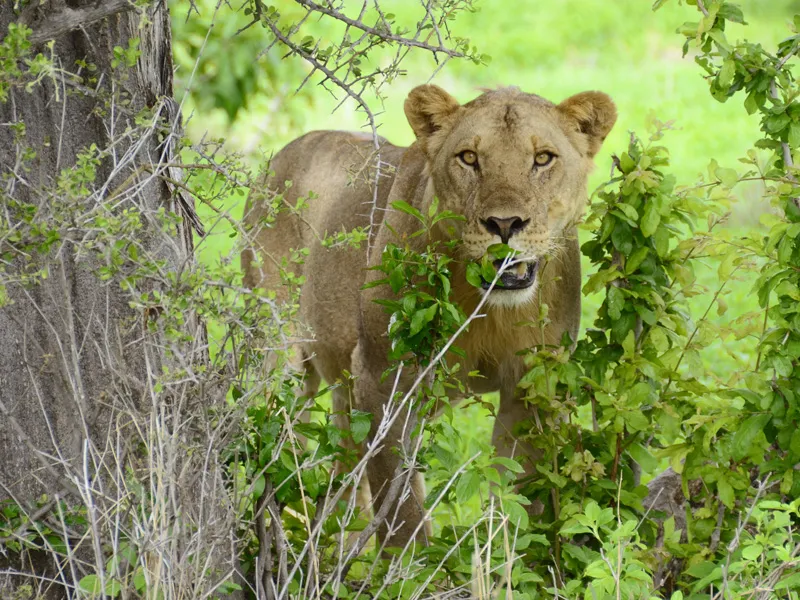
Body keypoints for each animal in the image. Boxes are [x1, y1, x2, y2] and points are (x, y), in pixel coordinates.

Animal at [241, 85, 616, 547]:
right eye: (469, 157)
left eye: (543, 158)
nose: (504, 223)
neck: (487, 309)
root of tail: (283, 153)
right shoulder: (383, 379)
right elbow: (402, 514)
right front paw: (416, 567)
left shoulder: (533, 389)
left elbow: (518, 504)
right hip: (280, 361)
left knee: (343, 465)